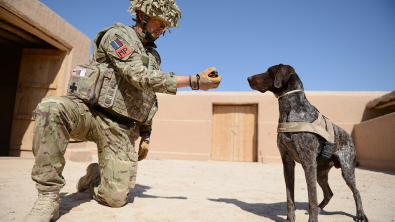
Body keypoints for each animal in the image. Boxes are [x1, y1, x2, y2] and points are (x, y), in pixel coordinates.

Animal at [248, 64, 368, 222]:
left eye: (269, 71)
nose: (248, 78)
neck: (290, 111)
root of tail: (348, 135)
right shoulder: (287, 162)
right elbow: (290, 197)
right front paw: (290, 218)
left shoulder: (308, 163)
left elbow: (311, 198)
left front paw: (312, 218)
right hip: (320, 172)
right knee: (329, 193)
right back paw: (320, 209)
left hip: (346, 170)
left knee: (356, 192)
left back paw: (360, 214)